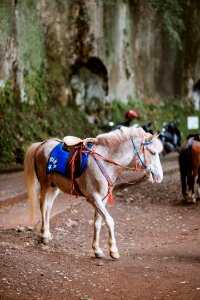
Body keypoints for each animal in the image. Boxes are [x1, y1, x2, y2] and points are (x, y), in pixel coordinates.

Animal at [24, 125, 163, 258]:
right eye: (153, 152)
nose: (159, 177)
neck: (105, 161)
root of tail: (41, 144)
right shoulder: (93, 198)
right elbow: (109, 221)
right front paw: (113, 251)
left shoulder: (102, 199)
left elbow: (97, 223)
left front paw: (97, 250)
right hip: (45, 185)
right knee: (43, 206)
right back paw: (44, 236)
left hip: (54, 187)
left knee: (48, 207)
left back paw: (47, 233)